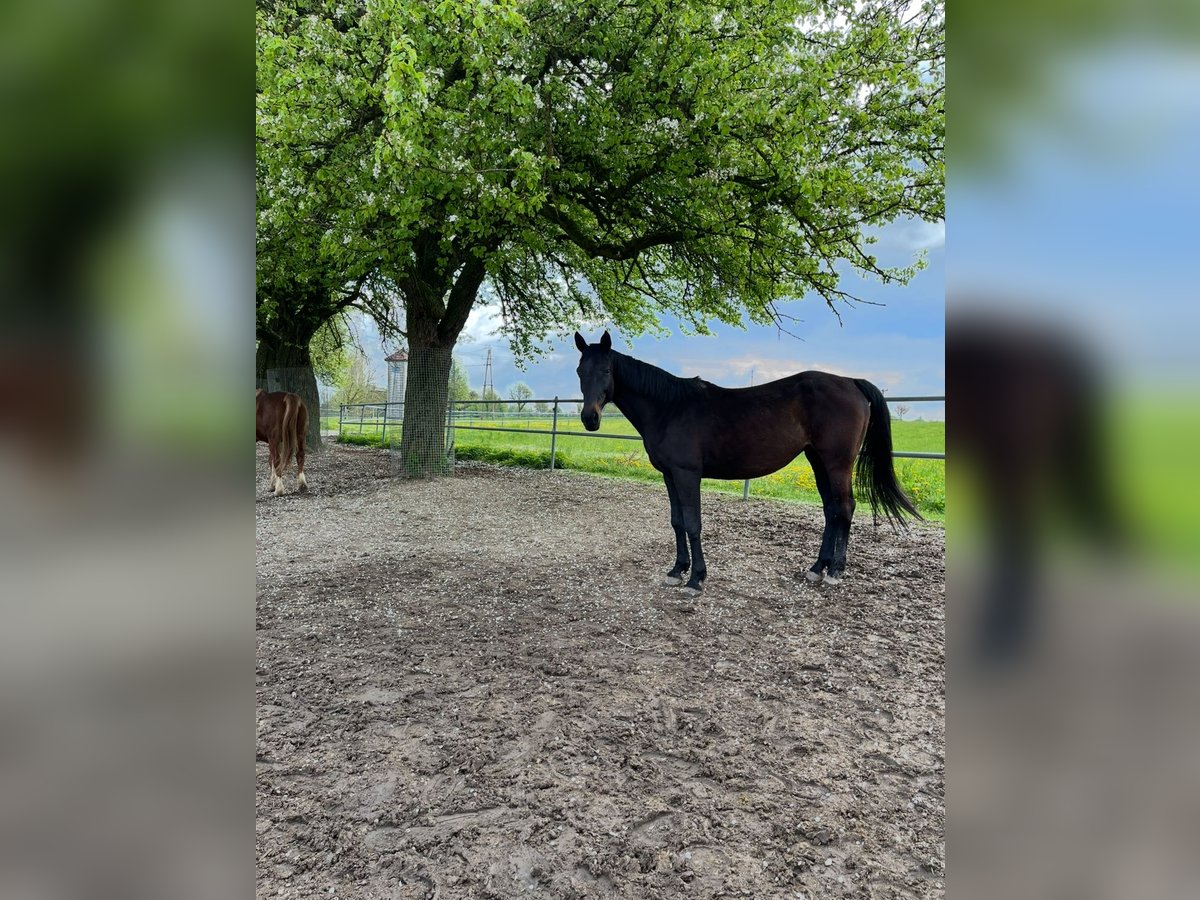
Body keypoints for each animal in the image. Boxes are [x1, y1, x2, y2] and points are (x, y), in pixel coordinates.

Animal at [571, 331, 916, 592]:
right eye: (579, 371)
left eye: (606, 371)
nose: (590, 418)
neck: (670, 408)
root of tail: (851, 381)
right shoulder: (669, 475)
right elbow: (677, 522)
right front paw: (677, 570)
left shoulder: (687, 474)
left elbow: (693, 523)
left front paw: (696, 579)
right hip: (817, 461)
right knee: (831, 510)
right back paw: (817, 567)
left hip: (837, 463)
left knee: (844, 508)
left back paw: (835, 572)